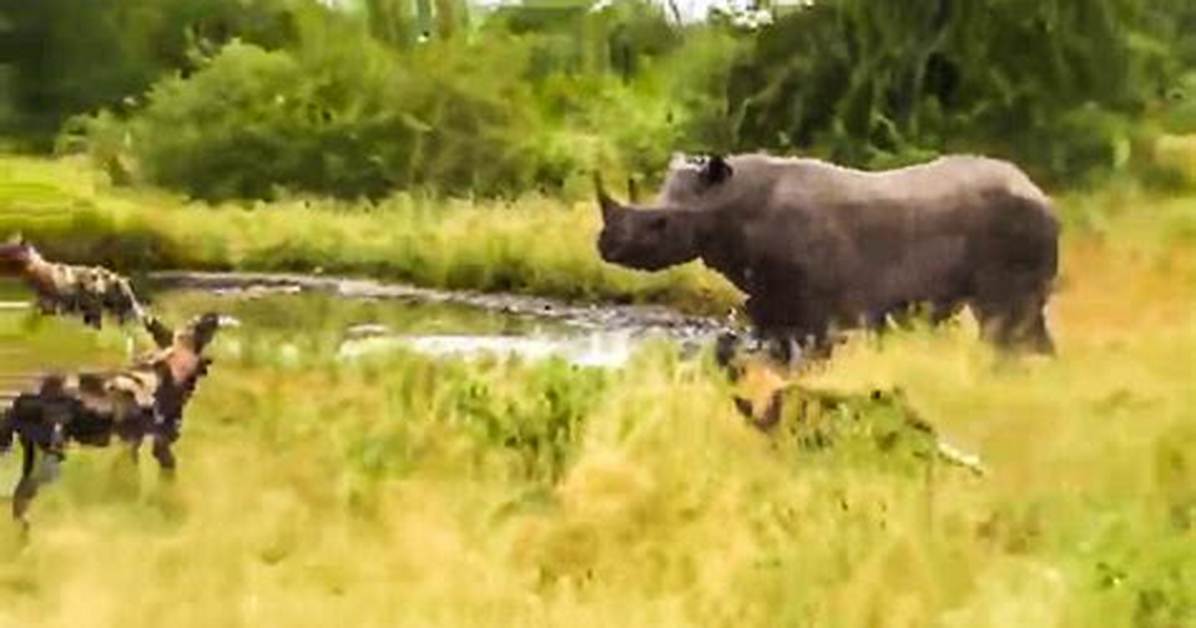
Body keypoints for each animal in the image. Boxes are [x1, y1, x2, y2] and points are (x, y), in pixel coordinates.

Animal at [595, 152, 1060, 357]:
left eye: (660, 224)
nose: (604, 246)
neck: (729, 202)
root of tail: (1043, 194)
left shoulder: (812, 309)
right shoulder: (772, 300)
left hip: (1015, 229)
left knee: (1005, 318)